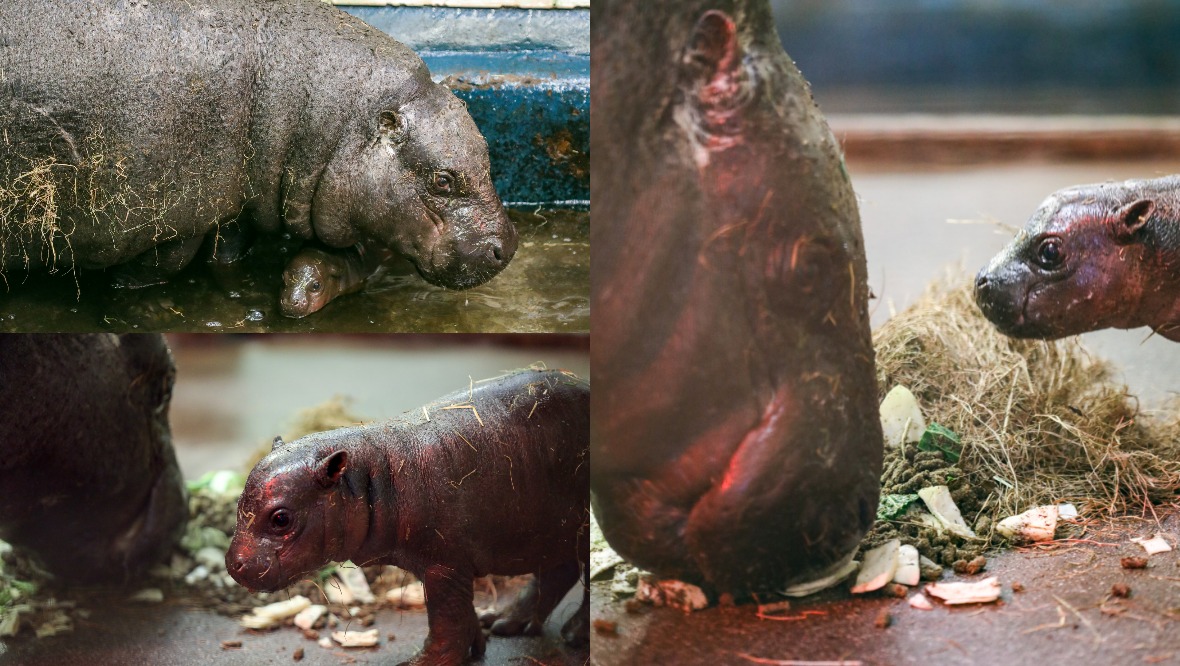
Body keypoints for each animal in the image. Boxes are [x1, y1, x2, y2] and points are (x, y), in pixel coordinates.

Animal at [0, 0, 516, 291]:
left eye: (486, 150)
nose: (507, 247)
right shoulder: (177, 210)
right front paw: (123, 285)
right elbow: (167, 262)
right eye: (443, 180)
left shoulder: (233, 206)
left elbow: (225, 250)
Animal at [225, 368, 590, 666]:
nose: (233, 565)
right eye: (239, 500)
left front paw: (419, 663)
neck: (374, 474)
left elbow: (447, 621)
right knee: (559, 572)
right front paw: (477, 644)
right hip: (551, 534)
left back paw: (574, 635)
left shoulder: (445, 566)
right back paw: (504, 622)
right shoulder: (439, 565)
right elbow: (462, 615)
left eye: (280, 518)